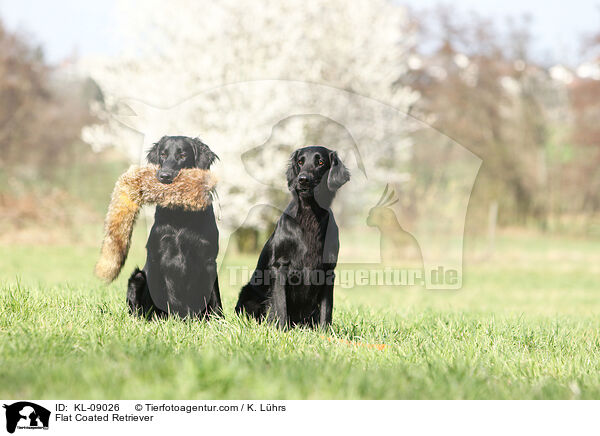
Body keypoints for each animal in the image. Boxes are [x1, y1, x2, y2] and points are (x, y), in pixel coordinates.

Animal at [126, 136, 223, 320]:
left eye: (183, 155)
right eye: (163, 154)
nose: (164, 176)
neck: (181, 217)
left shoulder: (208, 259)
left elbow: (214, 295)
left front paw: (218, 320)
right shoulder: (159, 257)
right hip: (138, 277)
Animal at [233, 145, 346, 328]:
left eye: (320, 162)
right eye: (300, 162)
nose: (303, 179)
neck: (309, 214)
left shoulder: (328, 270)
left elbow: (326, 310)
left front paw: (325, 332)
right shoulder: (280, 267)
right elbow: (281, 306)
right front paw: (281, 330)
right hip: (248, 294)